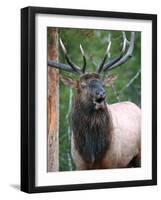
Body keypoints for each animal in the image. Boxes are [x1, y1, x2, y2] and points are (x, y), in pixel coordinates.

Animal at [47, 31, 141, 170]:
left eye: (103, 84)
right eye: (82, 84)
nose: (101, 94)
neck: (92, 152)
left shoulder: (112, 163)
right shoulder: (80, 165)